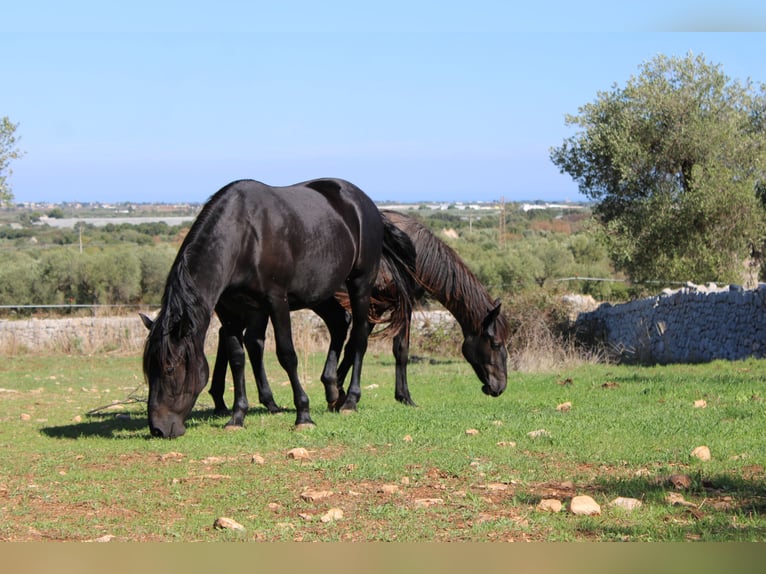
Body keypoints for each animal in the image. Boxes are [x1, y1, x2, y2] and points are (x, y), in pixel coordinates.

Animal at [143, 178, 416, 438]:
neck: (245, 235)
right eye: (148, 370)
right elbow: (238, 357)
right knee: (339, 322)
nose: (158, 428)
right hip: (320, 292)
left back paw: (350, 400)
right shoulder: (231, 310)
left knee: (358, 337)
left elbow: (287, 354)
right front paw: (237, 416)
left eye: (169, 368)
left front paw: (303, 415)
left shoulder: (276, 300)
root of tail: (367, 205)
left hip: (360, 283)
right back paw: (332, 390)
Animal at [210, 209, 510, 416]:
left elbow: (363, 345)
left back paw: (222, 400)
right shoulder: (384, 307)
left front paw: (339, 390)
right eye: (495, 344)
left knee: (233, 338)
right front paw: (356, 394)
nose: (499, 388)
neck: (411, 254)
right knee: (250, 343)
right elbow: (382, 347)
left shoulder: (385, 308)